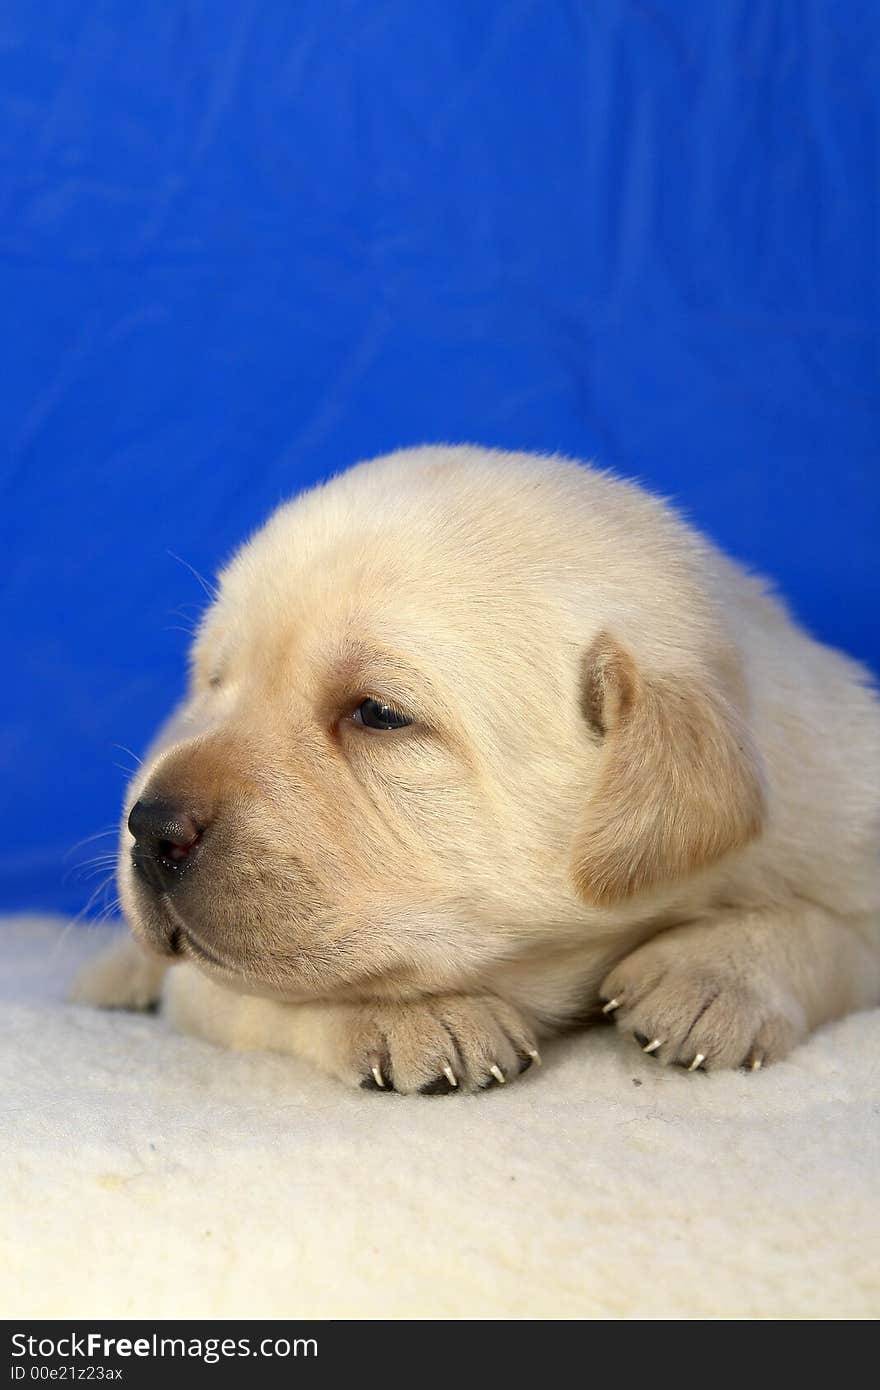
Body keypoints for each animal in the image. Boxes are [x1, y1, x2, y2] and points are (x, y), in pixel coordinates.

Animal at [75, 447, 878, 1095]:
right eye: (215, 682)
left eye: (379, 714)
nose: (150, 827)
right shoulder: (214, 986)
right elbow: (273, 992)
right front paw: (415, 1015)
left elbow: (829, 930)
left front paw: (714, 977)